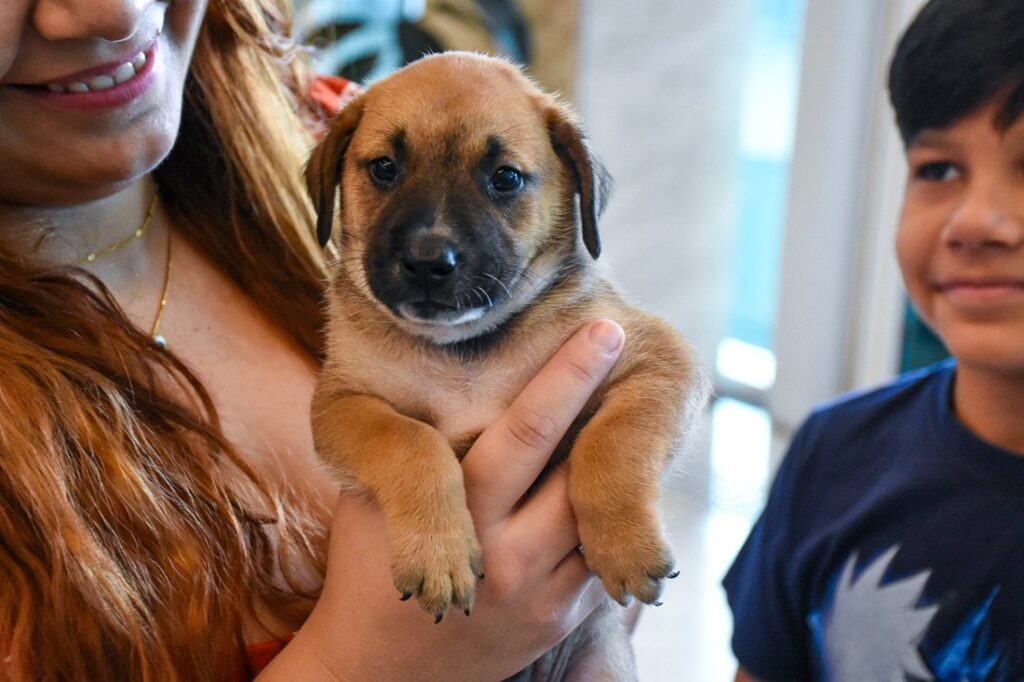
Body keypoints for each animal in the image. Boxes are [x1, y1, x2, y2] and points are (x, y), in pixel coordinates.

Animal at [303, 51, 704, 675]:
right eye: (385, 169)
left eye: (506, 178)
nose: (427, 261)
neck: (464, 351)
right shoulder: (342, 404)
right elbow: (411, 441)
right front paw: (438, 555)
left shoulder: (656, 356)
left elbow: (616, 441)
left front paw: (625, 542)